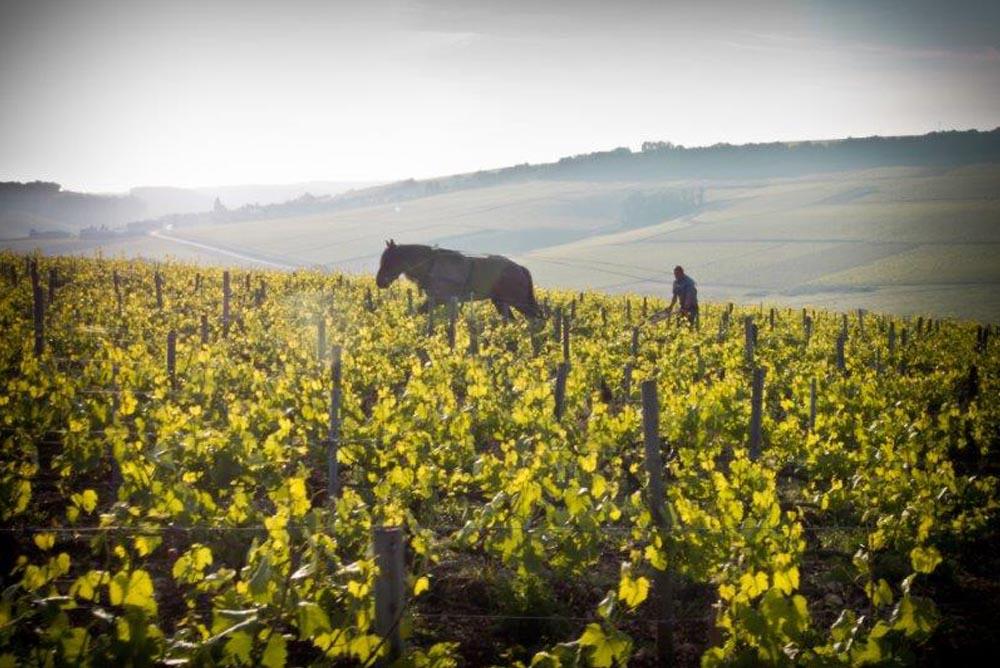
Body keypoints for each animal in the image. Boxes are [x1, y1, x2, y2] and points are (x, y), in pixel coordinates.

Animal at [376, 240, 548, 320]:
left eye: (389, 260)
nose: (379, 282)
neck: (431, 265)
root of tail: (520, 269)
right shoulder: (443, 301)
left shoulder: (440, 299)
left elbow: (418, 311)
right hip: (501, 302)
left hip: (519, 301)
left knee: (537, 317)